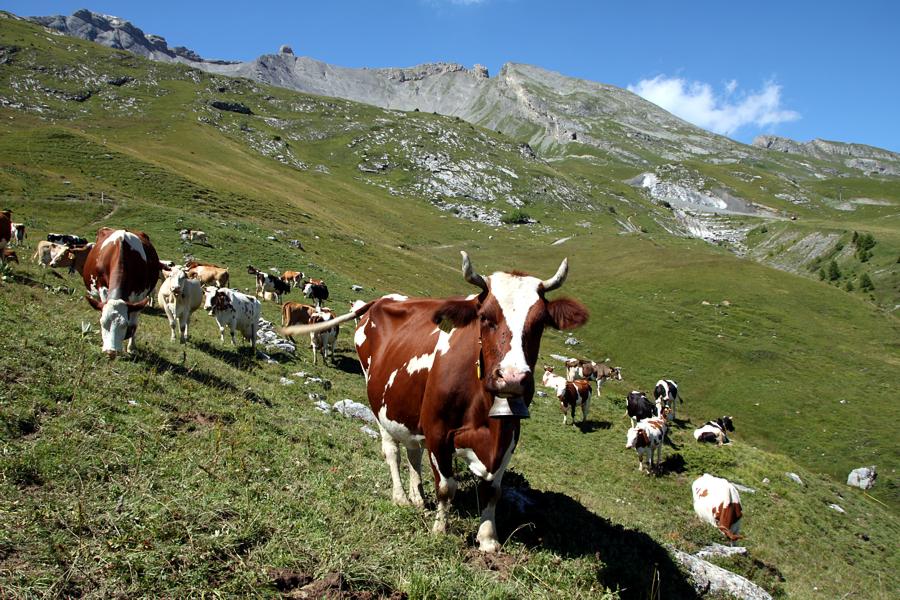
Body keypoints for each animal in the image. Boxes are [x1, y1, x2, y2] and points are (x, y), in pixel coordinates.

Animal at [82, 228, 160, 356]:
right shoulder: (103, 288)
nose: (111, 352)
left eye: (124, 325)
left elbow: (134, 324)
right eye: (103, 323)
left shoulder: (139, 296)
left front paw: (131, 348)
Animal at [281, 252, 588, 552]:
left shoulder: (510, 435)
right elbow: (446, 486)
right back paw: (401, 497)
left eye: (539, 324)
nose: (512, 378)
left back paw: (417, 496)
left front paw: (488, 538)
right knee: (392, 452)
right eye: (485, 317)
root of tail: (382, 301)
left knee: (413, 452)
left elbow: (493, 491)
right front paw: (441, 530)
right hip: (379, 405)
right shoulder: (438, 431)